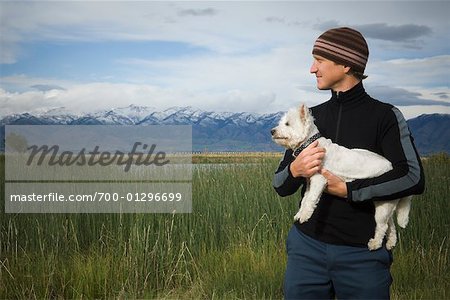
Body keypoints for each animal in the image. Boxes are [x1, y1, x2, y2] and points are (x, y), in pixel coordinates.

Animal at [270, 103, 412, 251]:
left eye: (287, 123)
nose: (272, 131)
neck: (310, 144)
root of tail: (391, 167)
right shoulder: (310, 182)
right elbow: (305, 199)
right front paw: (299, 214)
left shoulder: (319, 180)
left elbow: (310, 199)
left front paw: (304, 216)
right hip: (386, 204)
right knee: (391, 225)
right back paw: (390, 243)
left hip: (383, 206)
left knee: (382, 226)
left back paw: (374, 244)